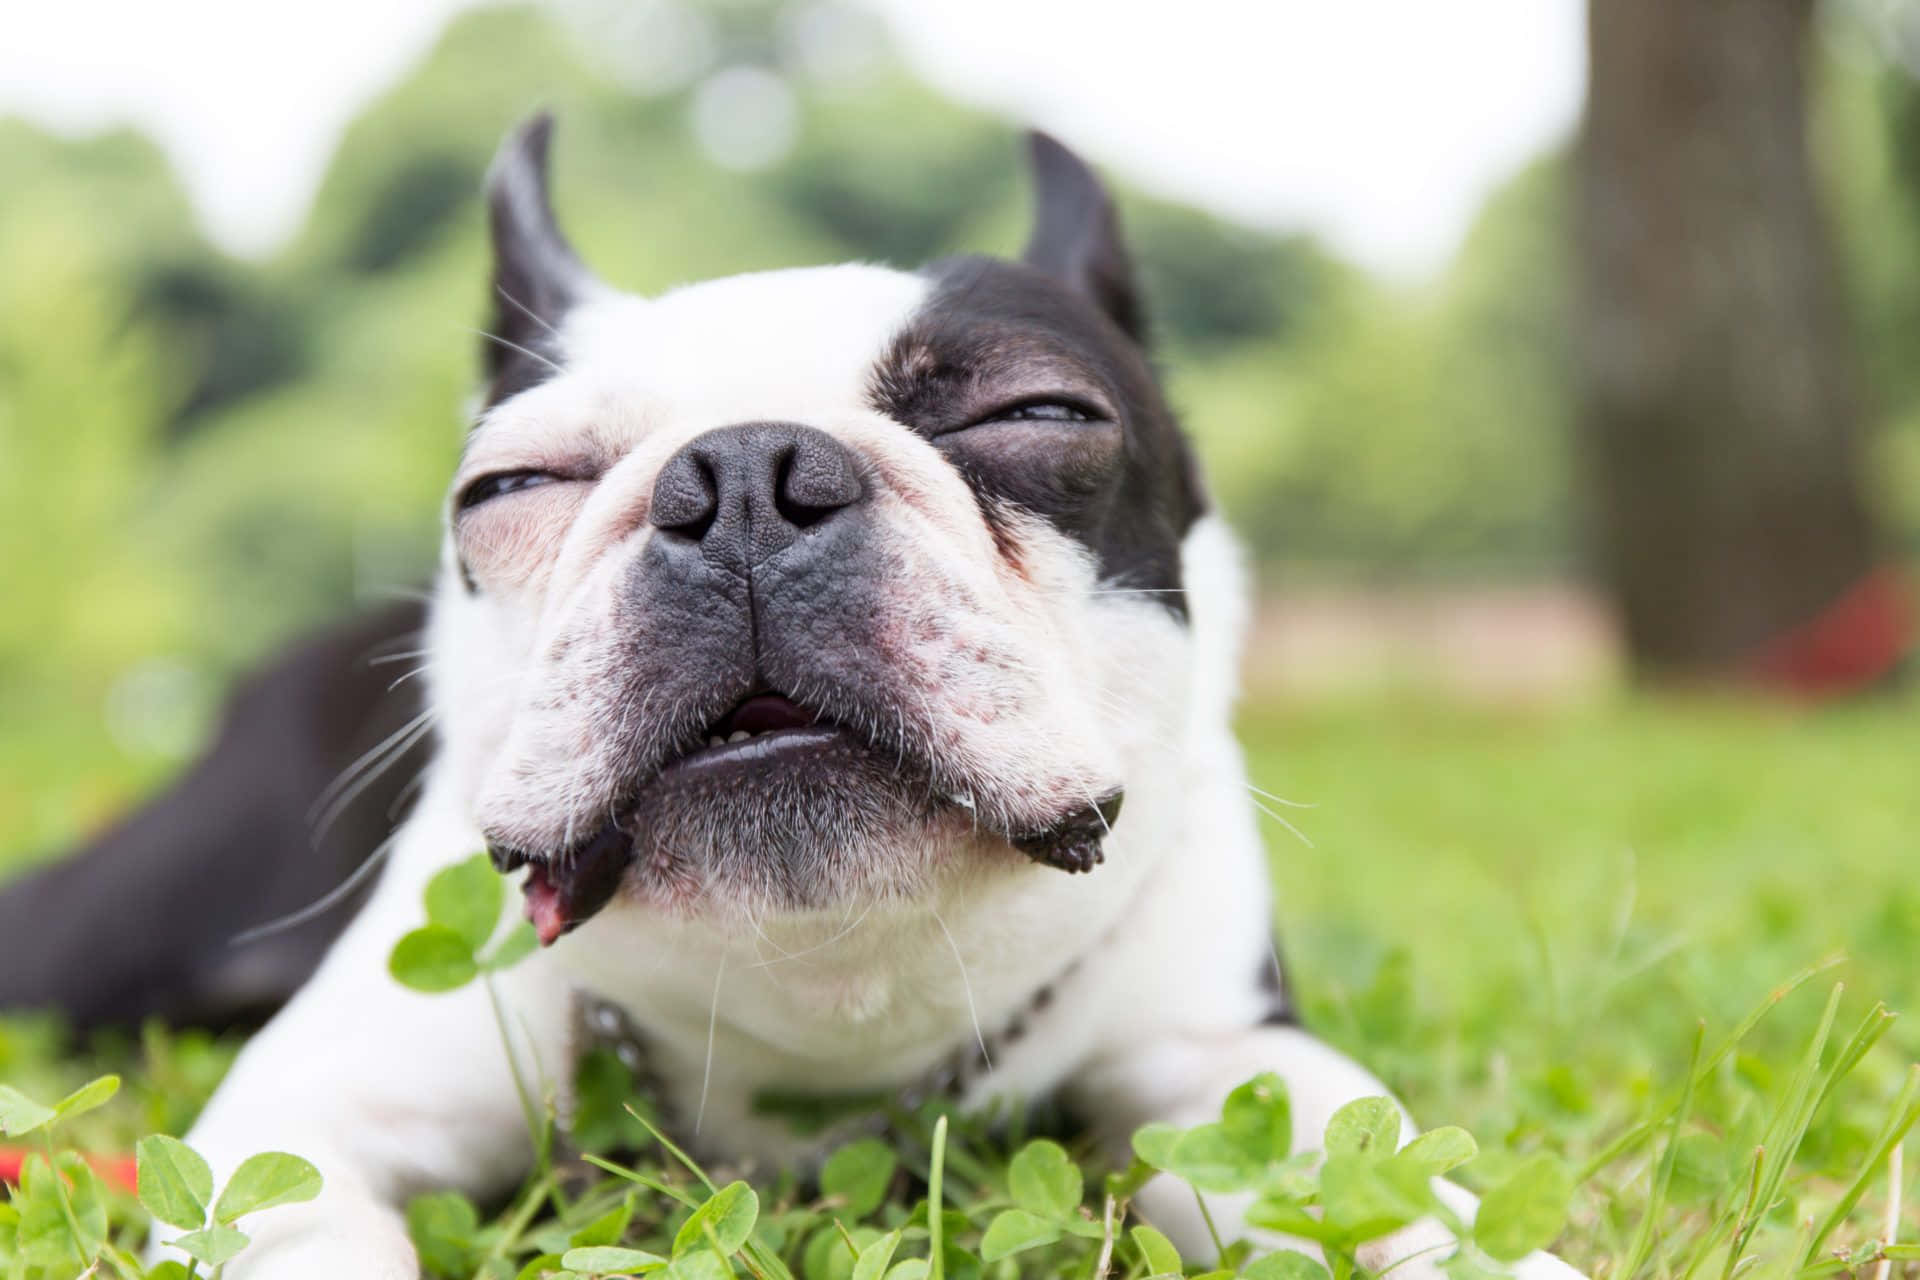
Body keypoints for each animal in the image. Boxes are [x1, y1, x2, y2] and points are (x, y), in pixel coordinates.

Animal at [116, 115, 1574, 1274]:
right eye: (511, 486)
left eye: (1037, 414)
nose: (743, 474)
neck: (822, 993)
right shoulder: (308, 1116)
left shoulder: (1217, 1050)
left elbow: (1371, 1168)